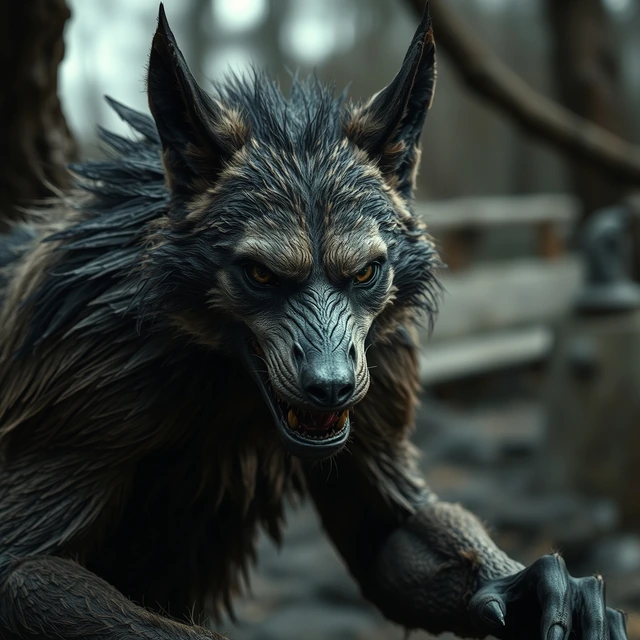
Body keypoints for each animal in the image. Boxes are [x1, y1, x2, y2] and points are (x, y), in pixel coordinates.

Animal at [0, 3, 627, 640]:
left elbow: (391, 533)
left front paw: (537, 590)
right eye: (259, 274)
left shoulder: (382, 375)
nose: (330, 386)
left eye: (366, 272)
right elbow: (24, 569)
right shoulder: (86, 384)